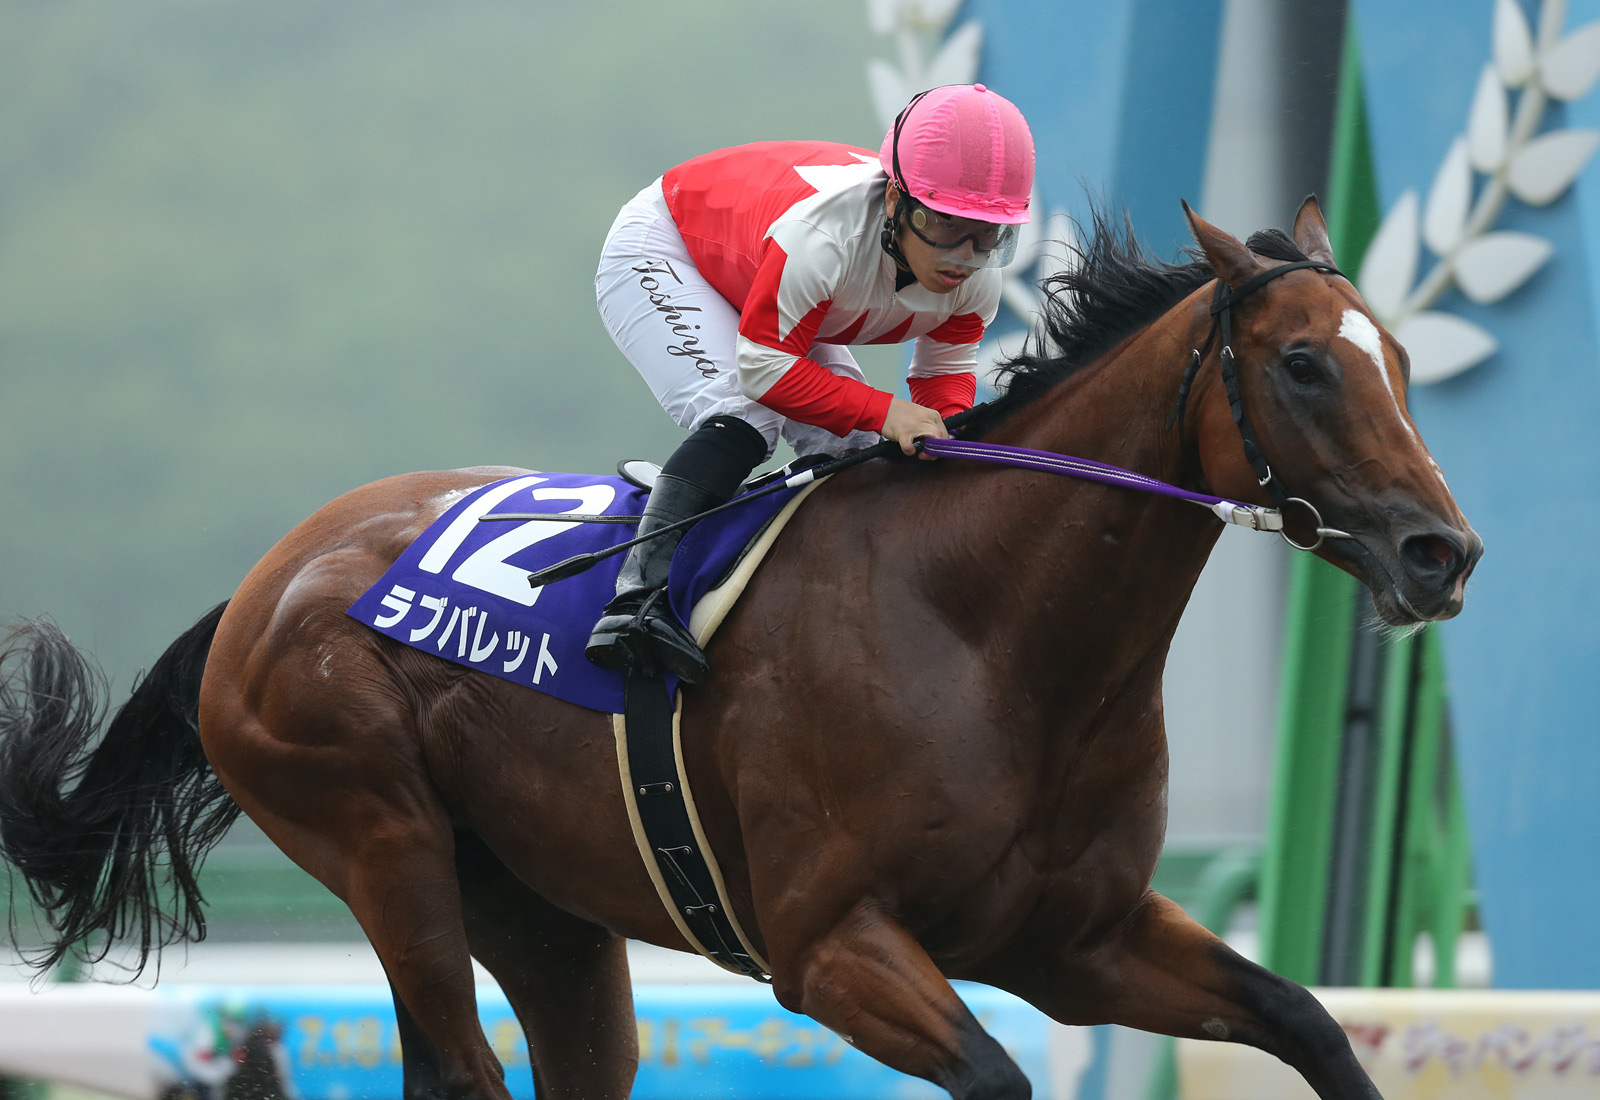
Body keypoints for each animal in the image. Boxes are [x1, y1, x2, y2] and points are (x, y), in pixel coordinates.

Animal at [0, 198, 1480, 1100]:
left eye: (1404, 362)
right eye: (1301, 363)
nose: (1440, 554)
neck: (992, 634)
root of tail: (268, 578)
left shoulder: (1079, 939)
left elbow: (1308, 1020)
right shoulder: (829, 947)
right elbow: (992, 1072)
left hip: (535, 901)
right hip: (377, 836)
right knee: (461, 1061)